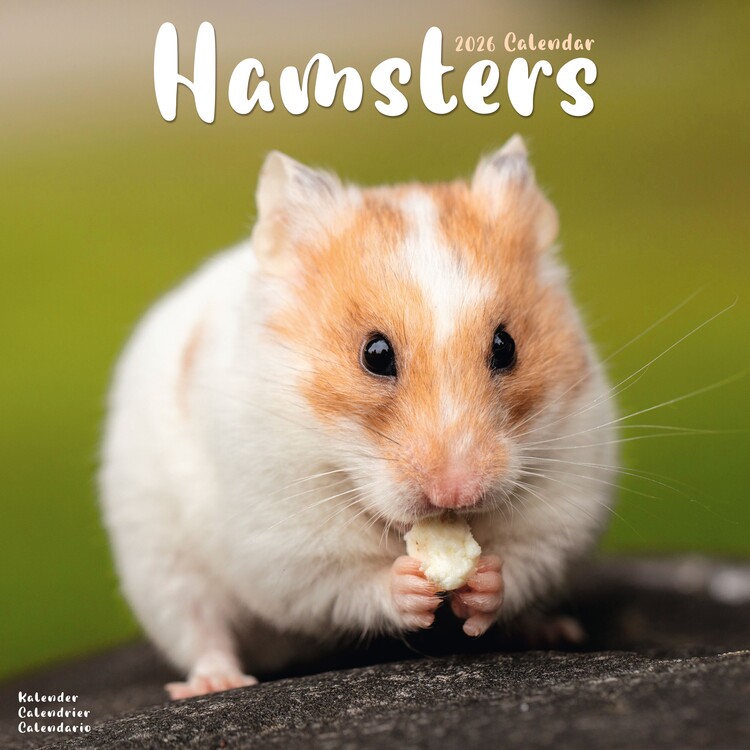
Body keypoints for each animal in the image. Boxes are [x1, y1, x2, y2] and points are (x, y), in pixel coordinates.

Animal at [99, 135, 617, 699]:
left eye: (506, 346)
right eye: (375, 354)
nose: (457, 494)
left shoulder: (562, 503)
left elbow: (521, 562)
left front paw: (481, 583)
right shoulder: (286, 545)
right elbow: (348, 584)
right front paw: (410, 585)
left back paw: (554, 630)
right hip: (160, 564)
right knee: (200, 628)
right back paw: (215, 682)